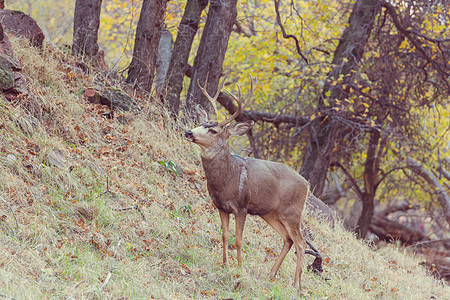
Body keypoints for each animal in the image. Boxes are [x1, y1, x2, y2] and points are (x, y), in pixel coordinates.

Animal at [185, 74, 312, 290]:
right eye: (201, 124)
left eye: (214, 130)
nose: (189, 133)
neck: (227, 180)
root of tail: (307, 185)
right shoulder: (221, 206)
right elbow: (224, 236)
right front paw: (225, 265)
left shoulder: (241, 206)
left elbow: (238, 240)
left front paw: (239, 269)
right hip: (271, 213)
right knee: (288, 239)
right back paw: (271, 274)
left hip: (293, 212)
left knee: (301, 242)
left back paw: (296, 284)